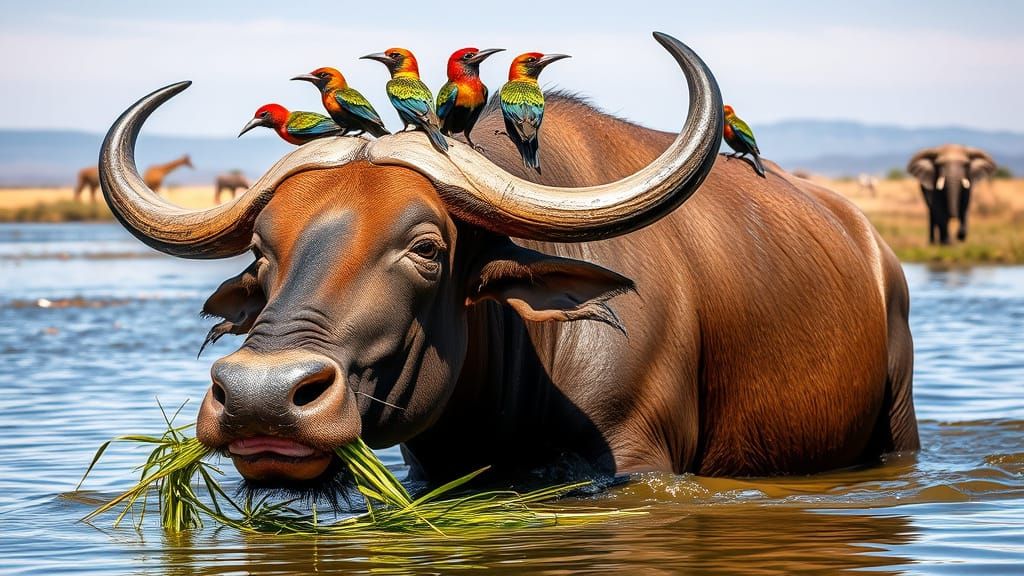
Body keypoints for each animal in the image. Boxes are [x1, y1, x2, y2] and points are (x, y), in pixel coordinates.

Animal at [99, 33, 918, 488]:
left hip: (898, 422)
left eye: (427, 248)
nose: (260, 398)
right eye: (263, 250)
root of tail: (874, 247)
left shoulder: (635, 456)